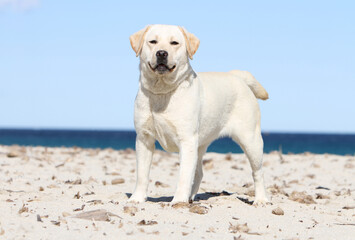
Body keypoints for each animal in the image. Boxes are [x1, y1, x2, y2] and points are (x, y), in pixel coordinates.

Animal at [129, 23, 268, 204]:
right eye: (153, 41)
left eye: (174, 43)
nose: (161, 53)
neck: (162, 91)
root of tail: (237, 76)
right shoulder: (144, 139)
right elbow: (142, 174)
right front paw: (137, 198)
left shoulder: (186, 140)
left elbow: (183, 176)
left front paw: (178, 201)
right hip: (200, 145)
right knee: (199, 173)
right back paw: (190, 197)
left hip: (251, 140)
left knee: (258, 172)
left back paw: (261, 199)